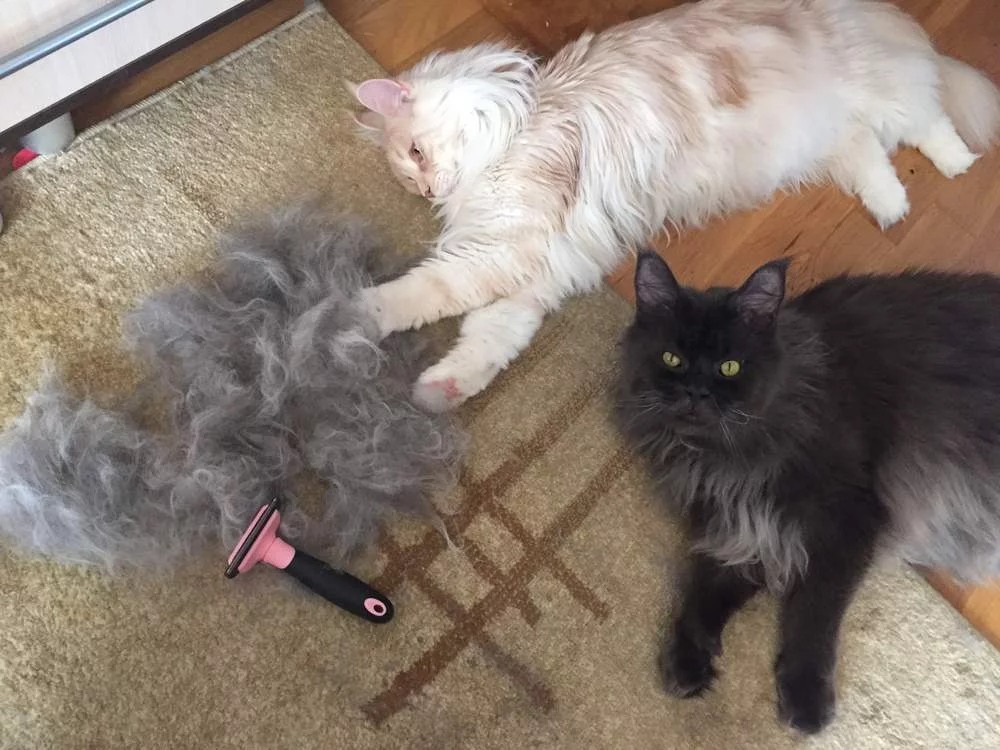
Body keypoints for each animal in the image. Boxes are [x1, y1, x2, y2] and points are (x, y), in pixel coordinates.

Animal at [347, 0, 1000, 412]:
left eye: (415, 152)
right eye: (408, 172)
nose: (427, 191)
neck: (523, 120)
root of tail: (880, 14)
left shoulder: (508, 249)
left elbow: (427, 292)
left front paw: (357, 312)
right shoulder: (537, 264)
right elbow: (489, 339)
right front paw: (440, 392)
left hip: (883, 96)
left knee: (929, 119)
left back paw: (956, 163)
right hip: (829, 136)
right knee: (868, 151)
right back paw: (890, 205)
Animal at [614, 249, 1000, 733]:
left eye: (729, 366)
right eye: (673, 359)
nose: (696, 393)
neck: (729, 457)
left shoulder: (845, 522)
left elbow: (813, 616)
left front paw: (806, 698)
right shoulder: (741, 528)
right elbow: (702, 599)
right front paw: (687, 660)